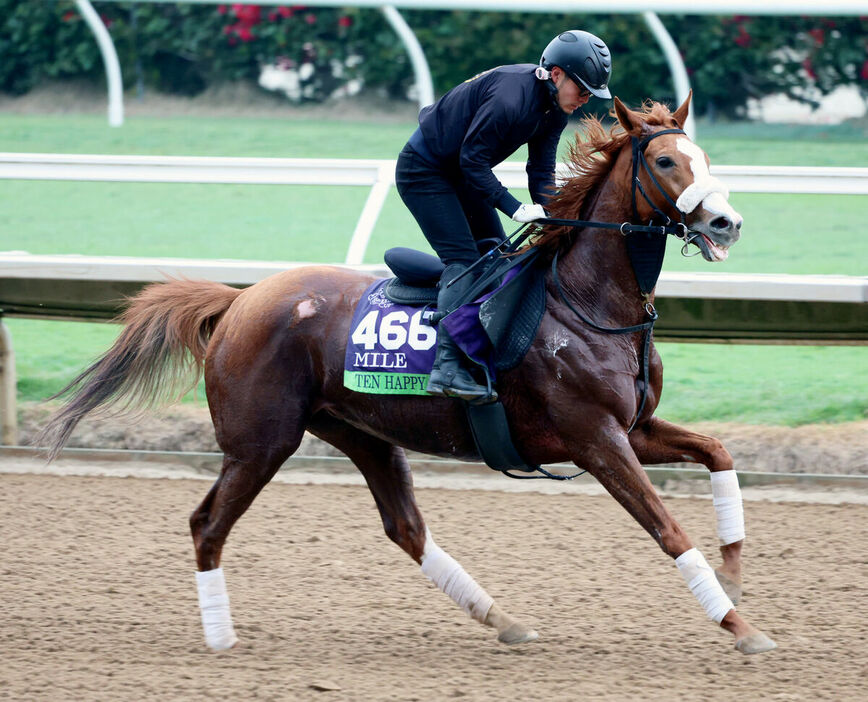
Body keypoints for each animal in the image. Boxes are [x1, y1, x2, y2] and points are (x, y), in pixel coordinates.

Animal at [37, 96, 776, 656]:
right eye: (665, 160)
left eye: (706, 159)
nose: (728, 221)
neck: (589, 301)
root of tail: (238, 300)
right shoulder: (595, 438)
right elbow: (667, 528)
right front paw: (740, 626)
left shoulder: (634, 427)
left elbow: (719, 452)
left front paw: (736, 575)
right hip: (260, 442)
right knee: (206, 524)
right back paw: (221, 638)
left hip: (359, 431)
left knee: (405, 528)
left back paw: (503, 619)